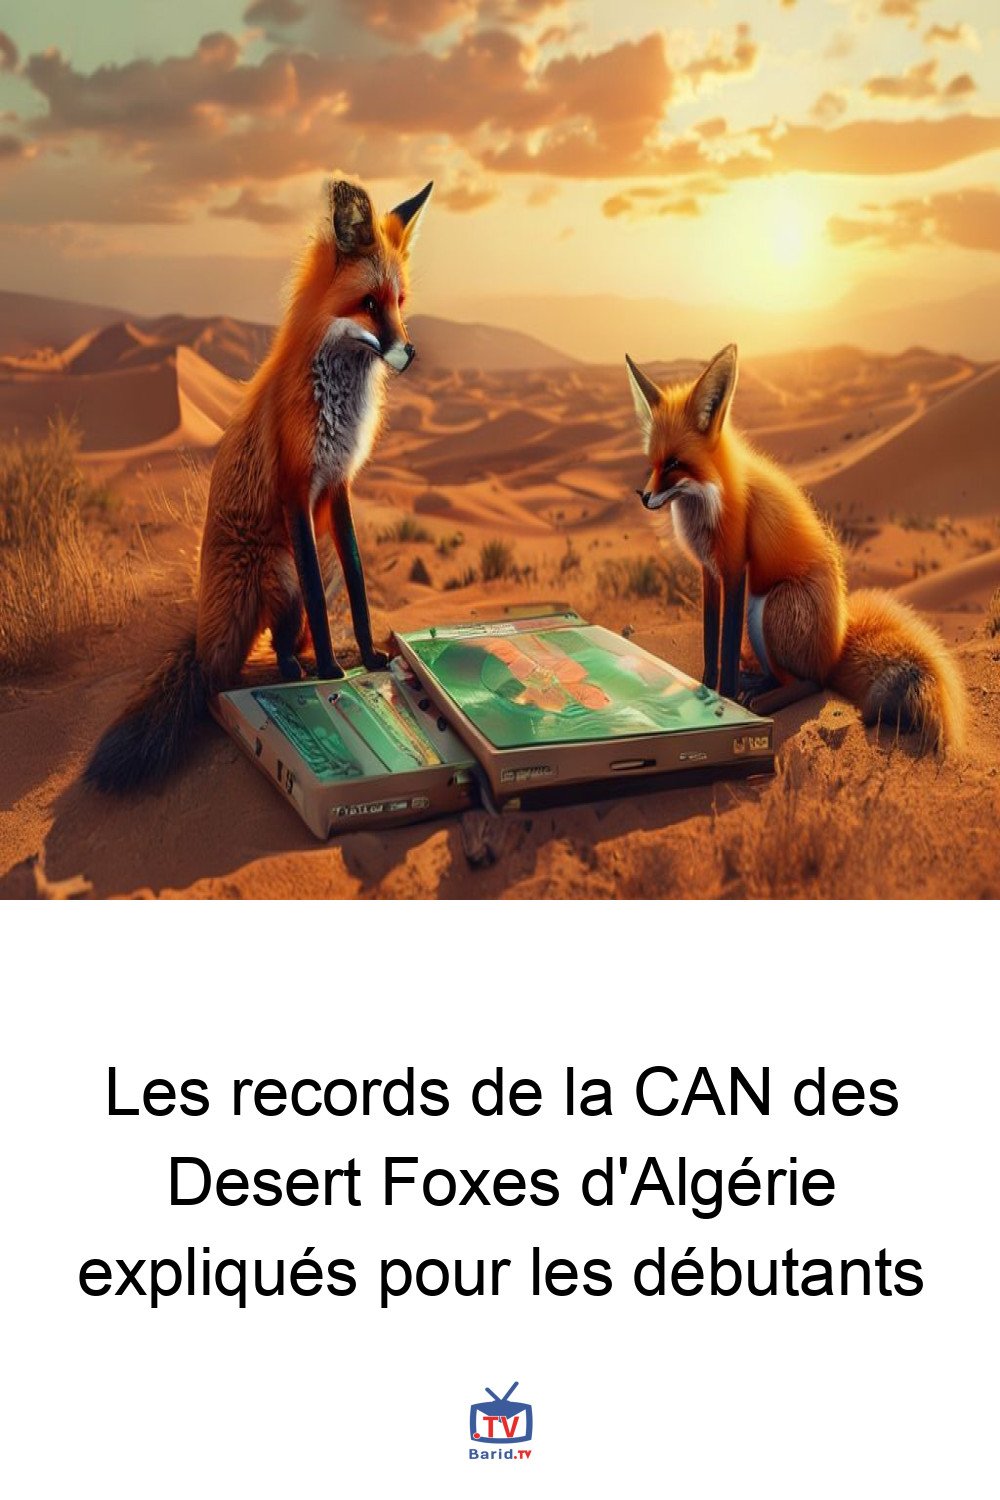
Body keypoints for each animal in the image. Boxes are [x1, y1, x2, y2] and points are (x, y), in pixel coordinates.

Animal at [86, 176, 433, 793]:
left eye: (399, 302)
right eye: (369, 303)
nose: (410, 352)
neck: (339, 402)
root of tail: (207, 641)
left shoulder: (338, 486)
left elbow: (358, 584)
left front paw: (370, 656)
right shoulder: (297, 487)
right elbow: (319, 594)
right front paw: (330, 671)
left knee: (287, 633)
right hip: (278, 569)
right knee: (278, 638)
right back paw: (298, 669)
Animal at [624, 343, 966, 753]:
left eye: (675, 463)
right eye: (653, 462)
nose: (643, 498)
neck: (707, 502)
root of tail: (836, 644)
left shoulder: (736, 568)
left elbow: (726, 644)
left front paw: (725, 699)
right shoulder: (708, 571)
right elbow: (709, 641)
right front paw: (705, 689)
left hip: (770, 604)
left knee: (812, 683)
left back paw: (759, 699)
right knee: (785, 676)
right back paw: (756, 683)